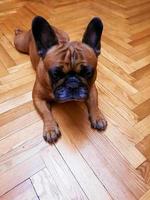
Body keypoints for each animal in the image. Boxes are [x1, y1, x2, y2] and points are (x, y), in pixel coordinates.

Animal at [14, 16, 107, 144]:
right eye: (56, 74)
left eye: (88, 73)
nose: (73, 84)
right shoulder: (38, 98)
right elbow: (46, 113)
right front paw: (50, 129)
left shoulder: (91, 89)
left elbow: (94, 103)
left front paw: (98, 117)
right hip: (20, 43)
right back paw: (18, 31)